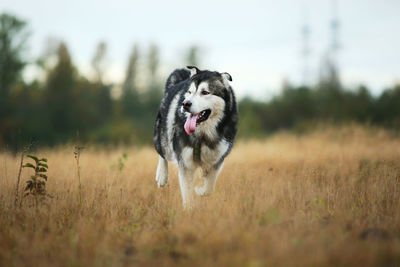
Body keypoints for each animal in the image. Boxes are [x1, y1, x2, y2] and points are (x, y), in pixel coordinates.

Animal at [153, 66, 238, 208]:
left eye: (205, 92)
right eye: (190, 92)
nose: (185, 104)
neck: (202, 135)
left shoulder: (218, 157)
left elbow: (210, 184)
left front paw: (201, 190)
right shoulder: (185, 163)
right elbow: (187, 193)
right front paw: (189, 210)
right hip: (164, 138)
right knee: (163, 153)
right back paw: (161, 175)